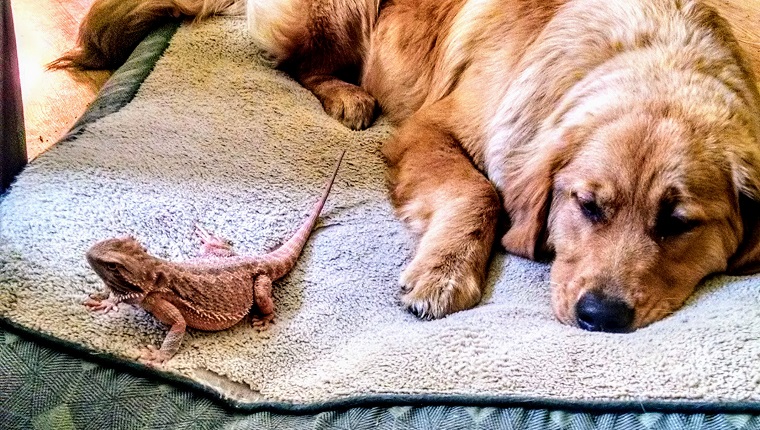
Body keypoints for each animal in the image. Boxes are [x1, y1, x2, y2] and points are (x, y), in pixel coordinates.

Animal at [53, 0, 760, 332]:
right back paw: (347, 96)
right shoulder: (430, 128)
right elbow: (482, 193)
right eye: (587, 206)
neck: (647, 48)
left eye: (678, 223)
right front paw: (443, 272)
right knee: (297, 65)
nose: (600, 317)